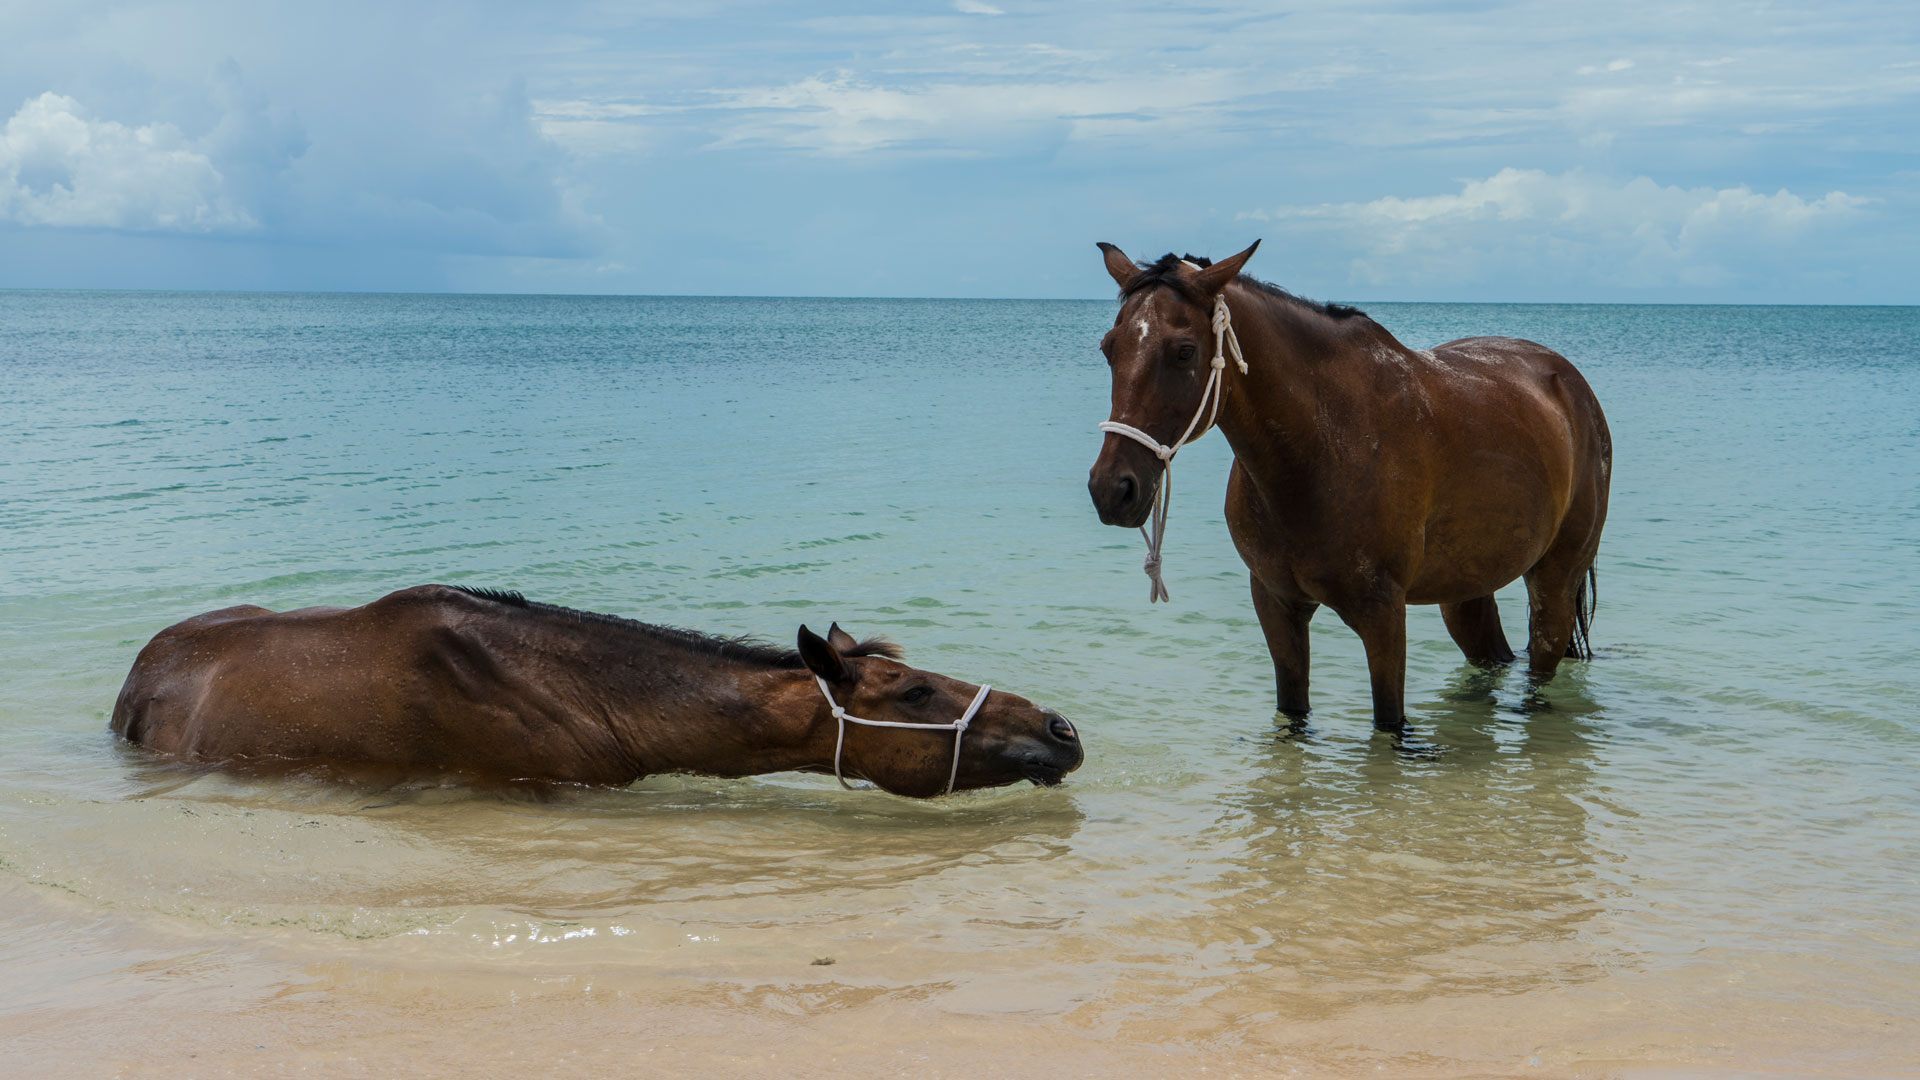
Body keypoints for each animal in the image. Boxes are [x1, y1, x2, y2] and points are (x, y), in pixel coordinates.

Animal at [1086, 241, 1611, 731]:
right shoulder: (1277, 605)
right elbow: (1294, 715)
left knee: (1541, 666)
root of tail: (1571, 384)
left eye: (1184, 351)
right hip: (1466, 589)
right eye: (1110, 347)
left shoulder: (1383, 615)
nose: (1112, 489)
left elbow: (1389, 723)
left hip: (1554, 579)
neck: (1321, 447)